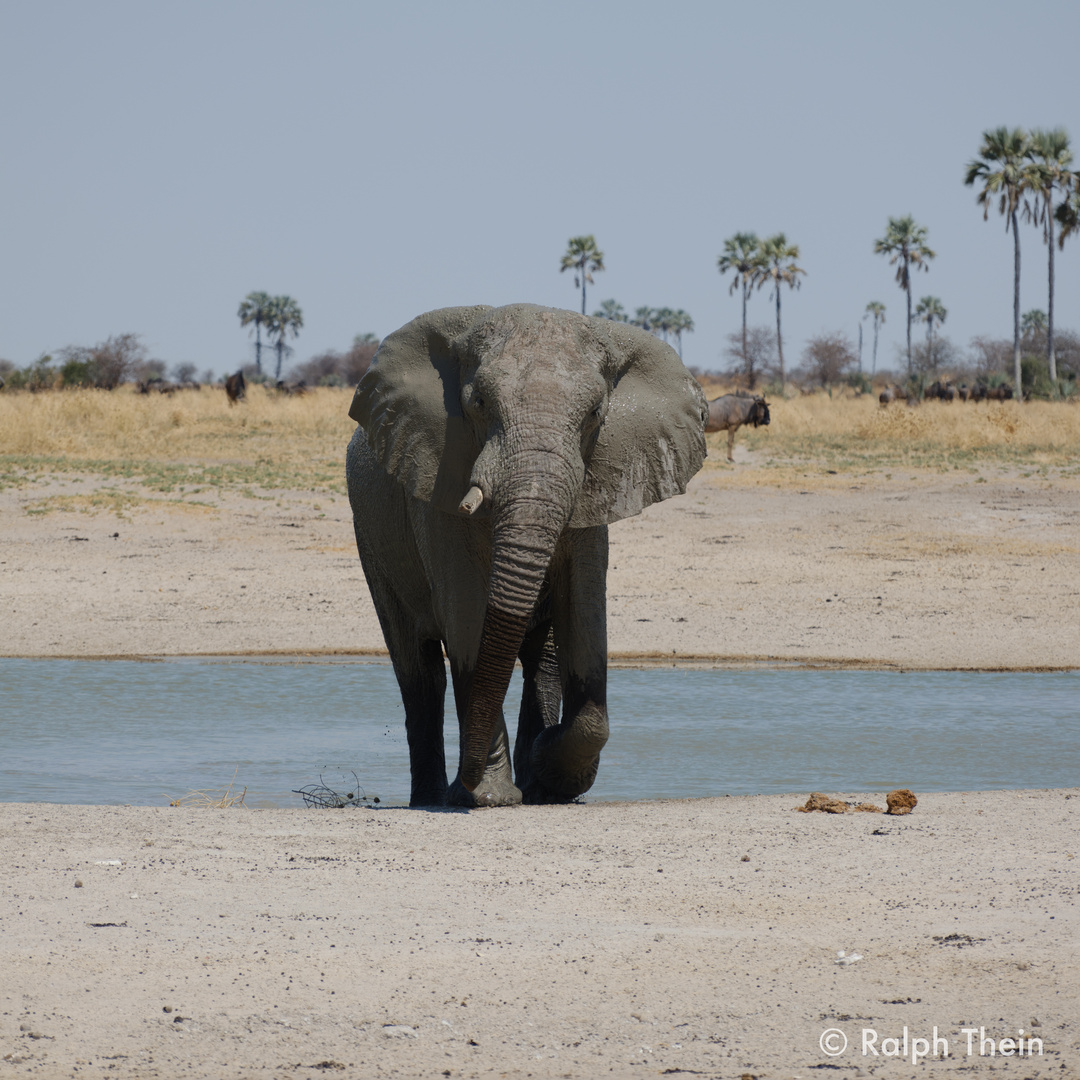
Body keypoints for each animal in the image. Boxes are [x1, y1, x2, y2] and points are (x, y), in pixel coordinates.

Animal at [345, 304, 708, 812]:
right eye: (478, 404)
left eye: (595, 414)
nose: (470, 785)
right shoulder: (438, 479)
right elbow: (467, 617)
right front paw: (489, 797)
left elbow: (583, 611)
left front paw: (545, 767)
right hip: (372, 541)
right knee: (419, 672)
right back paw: (434, 798)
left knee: (544, 660)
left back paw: (535, 787)